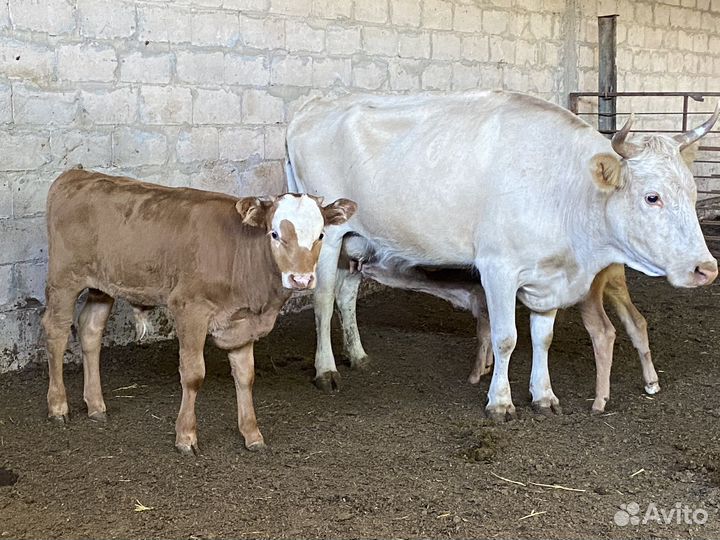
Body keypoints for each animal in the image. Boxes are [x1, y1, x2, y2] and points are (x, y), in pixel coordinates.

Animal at [43, 168, 356, 454]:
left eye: (321, 234)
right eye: (275, 233)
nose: (301, 279)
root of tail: (76, 174)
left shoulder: (242, 322)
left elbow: (246, 376)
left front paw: (252, 434)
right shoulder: (190, 309)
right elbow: (193, 375)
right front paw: (186, 437)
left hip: (103, 286)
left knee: (90, 330)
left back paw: (96, 405)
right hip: (64, 279)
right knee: (56, 332)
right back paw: (58, 406)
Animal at [285, 90, 719, 422]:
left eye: (693, 192)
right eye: (652, 197)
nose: (706, 268)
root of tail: (313, 106)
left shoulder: (548, 276)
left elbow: (542, 337)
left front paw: (543, 396)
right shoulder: (498, 269)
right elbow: (505, 337)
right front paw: (500, 401)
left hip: (358, 238)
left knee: (346, 296)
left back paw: (358, 355)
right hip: (328, 233)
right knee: (323, 298)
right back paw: (326, 370)